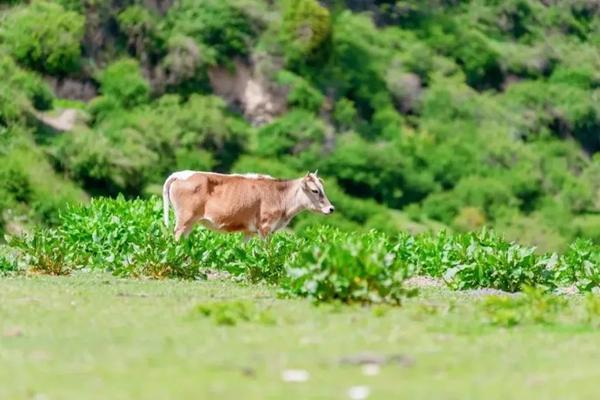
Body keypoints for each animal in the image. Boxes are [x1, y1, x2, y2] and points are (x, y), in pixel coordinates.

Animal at [162, 170, 336, 241]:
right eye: (315, 190)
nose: (331, 208)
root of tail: (180, 174)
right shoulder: (265, 228)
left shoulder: (249, 231)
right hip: (184, 219)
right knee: (176, 236)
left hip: (190, 222)